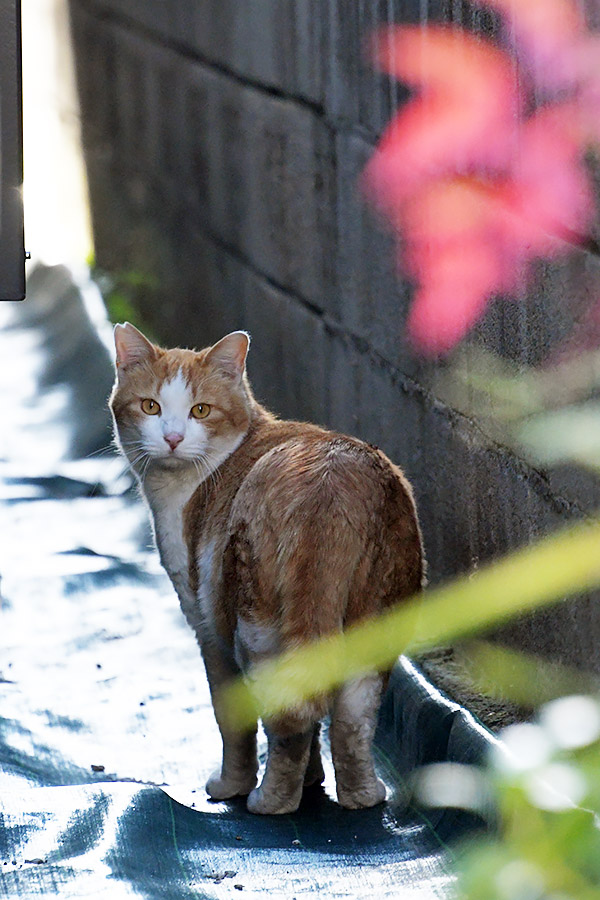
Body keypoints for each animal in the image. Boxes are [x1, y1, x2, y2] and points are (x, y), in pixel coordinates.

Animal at [110, 326, 424, 816]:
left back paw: (270, 801)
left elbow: (231, 720)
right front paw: (314, 780)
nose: (174, 438)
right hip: (378, 618)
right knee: (350, 722)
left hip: (253, 624)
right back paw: (361, 796)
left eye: (201, 410)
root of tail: (331, 477)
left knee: (288, 720)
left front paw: (231, 786)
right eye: (150, 407)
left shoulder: (207, 627)